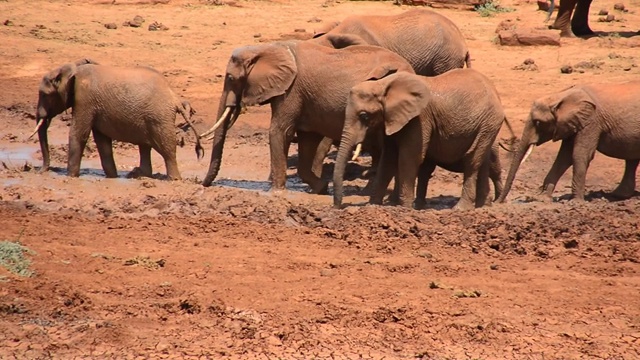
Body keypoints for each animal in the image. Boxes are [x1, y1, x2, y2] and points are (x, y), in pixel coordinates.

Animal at [33, 58, 202, 180]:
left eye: (44, 95)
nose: (41, 172)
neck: (73, 68)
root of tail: (174, 98)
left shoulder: (85, 99)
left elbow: (78, 134)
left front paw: (70, 178)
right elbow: (102, 142)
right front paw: (112, 178)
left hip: (159, 117)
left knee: (166, 149)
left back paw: (173, 180)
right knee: (145, 146)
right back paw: (138, 175)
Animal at [198, 40, 416, 193]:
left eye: (231, 78)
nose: (202, 183)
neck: (267, 47)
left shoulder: (292, 90)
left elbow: (281, 132)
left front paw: (275, 192)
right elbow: (307, 138)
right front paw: (320, 188)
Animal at [332, 68, 508, 210]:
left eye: (364, 116)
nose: (338, 206)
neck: (383, 85)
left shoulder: (419, 119)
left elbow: (409, 158)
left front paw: (404, 208)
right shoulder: (392, 118)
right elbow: (388, 159)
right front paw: (373, 206)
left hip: (489, 121)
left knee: (472, 160)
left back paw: (461, 209)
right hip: (487, 126)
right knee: (483, 161)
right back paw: (483, 206)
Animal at [498, 80, 640, 202]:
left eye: (538, 122)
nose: (499, 202)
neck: (560, 96)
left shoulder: (591, 121)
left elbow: (579, 154)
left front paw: (576, 202)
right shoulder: (571, 123)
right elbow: (563, 158)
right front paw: (542, 199)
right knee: (631, 160)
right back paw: (619, 195)